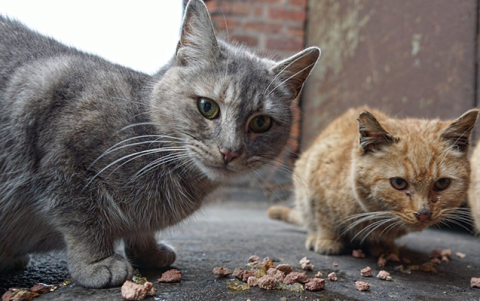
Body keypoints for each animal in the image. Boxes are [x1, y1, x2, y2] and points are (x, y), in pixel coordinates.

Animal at [0, 0, 318, 288]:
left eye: (261, 123)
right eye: (207, 107)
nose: (229, 150)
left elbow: (139, 231)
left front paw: (149, 252)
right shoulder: (63, 163)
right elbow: (84, 220)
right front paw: (98, 262)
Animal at [268, 106, 478, 254]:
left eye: (442, 183)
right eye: (398, 183)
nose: (424, 213)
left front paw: (384, 246)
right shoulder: (318, 184)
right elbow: (325, 220)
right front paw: (328, 241)